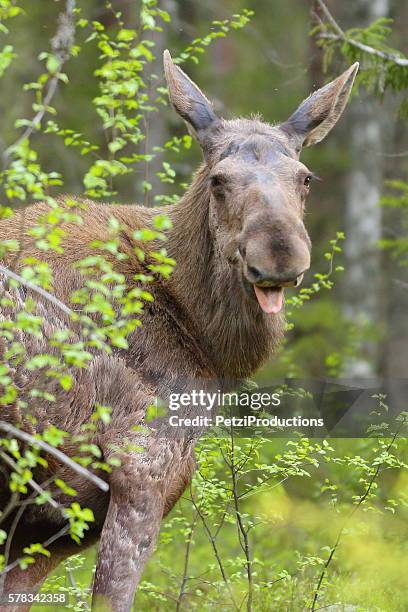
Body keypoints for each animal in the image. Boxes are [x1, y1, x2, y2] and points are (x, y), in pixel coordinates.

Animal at [0, 53, 356, 612]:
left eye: (305, 177)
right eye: (218, 180)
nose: (280, 255)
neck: (207, 345)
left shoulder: (42, 527)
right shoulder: (145, 469)